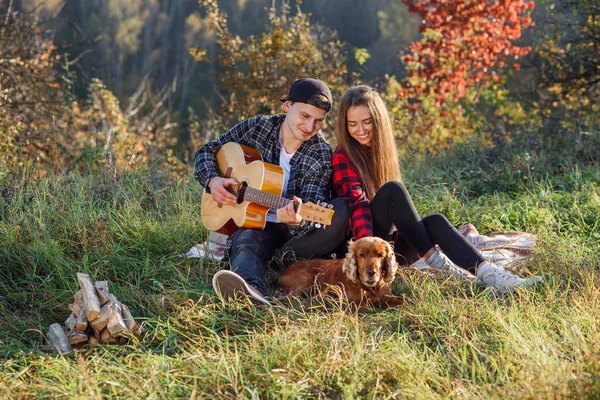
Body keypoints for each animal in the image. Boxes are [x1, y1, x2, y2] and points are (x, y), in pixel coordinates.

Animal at [276, 236, 404, 308]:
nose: (371, 272)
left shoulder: (387, 297)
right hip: (306, 283)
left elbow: (402, 303)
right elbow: (366, 305)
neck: (370, 288)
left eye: (380, 255)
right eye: (361, 255)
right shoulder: (352, 303)